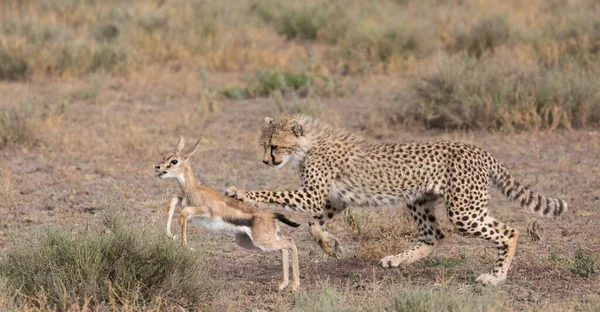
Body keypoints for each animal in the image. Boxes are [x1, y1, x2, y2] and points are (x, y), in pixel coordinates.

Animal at [225, 114, 568, 286]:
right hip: (419, 200)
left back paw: (495, 277)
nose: (265, 161)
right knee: (435, 235)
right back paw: (396, 260)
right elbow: (314, 224)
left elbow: (276, 197)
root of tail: (479, 150)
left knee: (510, 232)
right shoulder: (335, 200)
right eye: (264, 144)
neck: (309, 143)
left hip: (463, 210)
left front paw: (240, 192)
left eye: (274, 146)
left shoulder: (312, 195)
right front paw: (331, 245)